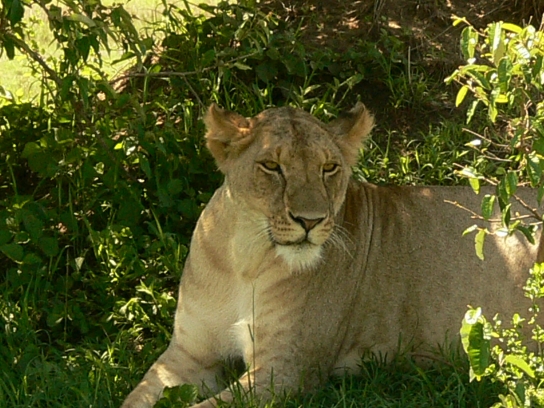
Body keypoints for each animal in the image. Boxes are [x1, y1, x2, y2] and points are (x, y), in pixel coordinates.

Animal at [122, 103, 542, 408]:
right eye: (272, 166)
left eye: (329, 168)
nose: (310, 220)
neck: (246, 258)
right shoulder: (187, 355)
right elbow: (135, 398)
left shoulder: (284, 373)